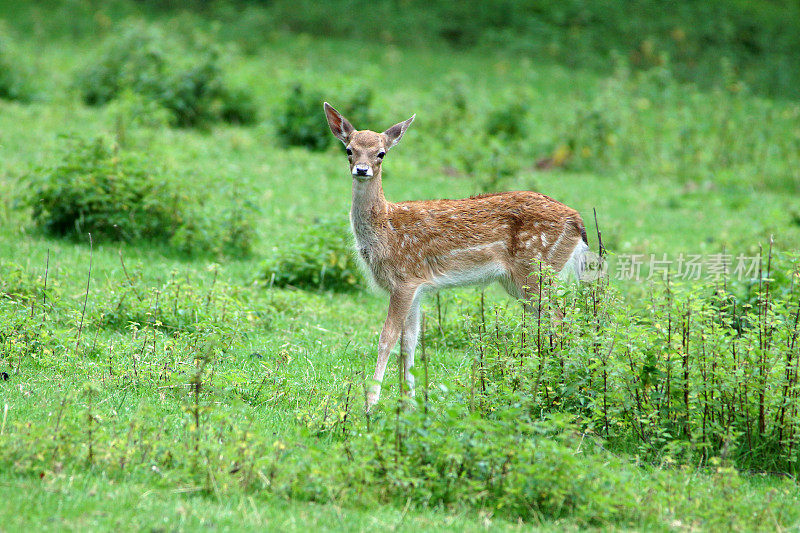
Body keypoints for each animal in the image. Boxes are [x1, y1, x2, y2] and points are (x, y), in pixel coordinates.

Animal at [322, 102, 592, 410]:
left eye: (381, 153)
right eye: (349, 149)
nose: (362, 169)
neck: (385, 229)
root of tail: (577, 221)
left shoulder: (404, 279)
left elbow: (387, 338)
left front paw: (371, 403)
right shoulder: (416, 287)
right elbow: (410, 341)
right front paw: (410, 403)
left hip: (537, 268)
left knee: (560, 318)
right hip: (521, 280)